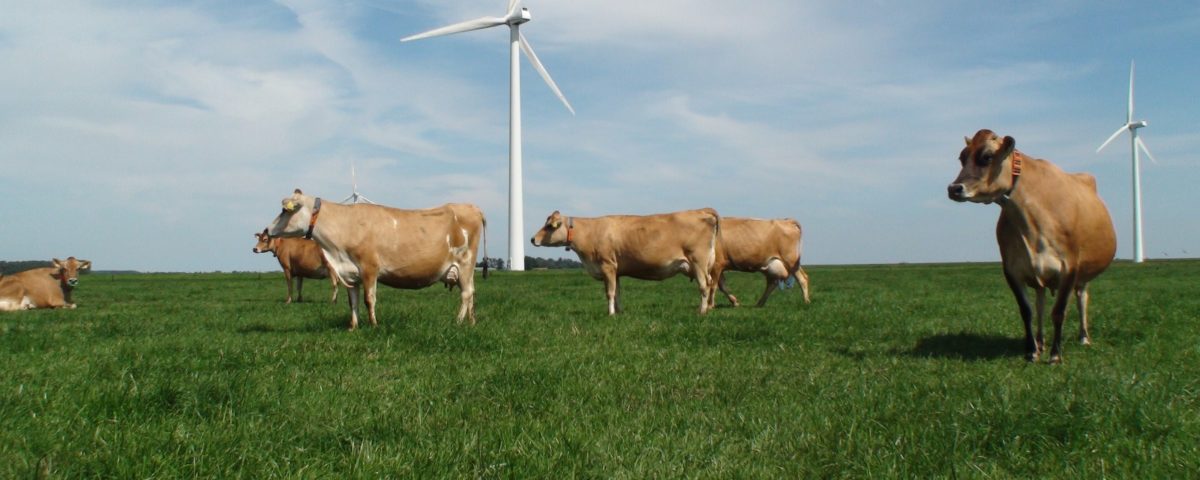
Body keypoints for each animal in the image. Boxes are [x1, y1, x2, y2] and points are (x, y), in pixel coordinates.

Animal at [265, 189, 484, 328]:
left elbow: (369, 299)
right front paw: (353, 326)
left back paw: (457, 322)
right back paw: (471, 322)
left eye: (284, 210)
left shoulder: (369, 267)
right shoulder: (350, 272)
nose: (267, 230)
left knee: (466, 294)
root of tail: (472, 207)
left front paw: (373, 325)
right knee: (472, 293)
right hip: (465, 269)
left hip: (465, 263)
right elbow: (352, 301)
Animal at [530, 208, 715, 314]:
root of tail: (702, 211)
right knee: (710, 284)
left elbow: (610, 292)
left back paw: (702, 311)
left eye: (549, 226)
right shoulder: (616, 271)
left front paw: (610, 313)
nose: (532, 239)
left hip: (698, 262)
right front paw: (619, 312)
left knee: (704, 286)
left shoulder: (607, 266)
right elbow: (617, 292)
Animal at [950, 129, 1118, 362]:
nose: (954, 188)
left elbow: (1059, 312)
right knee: (1040, 305)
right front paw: (1031, 351)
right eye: (962, 157)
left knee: (1082, 298)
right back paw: (1040, 342)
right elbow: (1027, 311)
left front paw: (1055, 355)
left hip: (1084, 273)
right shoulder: (1012, 270)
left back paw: (1083, 337)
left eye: (987, 156)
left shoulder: (1069, 266)